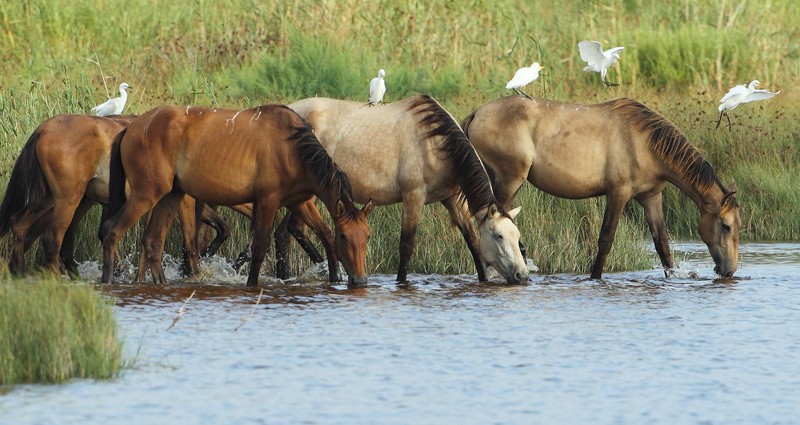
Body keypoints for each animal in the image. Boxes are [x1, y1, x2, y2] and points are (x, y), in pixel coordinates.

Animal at [0, 114, 234, 276]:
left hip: (53, 198)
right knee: (52, 238)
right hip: (68, 199)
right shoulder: (184, 200)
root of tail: (42, 129)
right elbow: (190, 240)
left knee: (20, 224)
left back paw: (19, 270)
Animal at [101, 104, 374, 286]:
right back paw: (108, 280)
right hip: (146, 194)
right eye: (344, 236)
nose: (360, 280)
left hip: (170, 196)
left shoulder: (300, 202)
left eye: (367, 236)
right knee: (112, 230)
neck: (292, 148)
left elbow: (324, 234)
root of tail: (131, 129)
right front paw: (252, 284)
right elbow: (260, 246)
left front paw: (335, 278)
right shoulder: (268, 200)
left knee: (153, 242)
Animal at [288, 94, 532, 284]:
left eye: (517, 235)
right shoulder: (413, 196)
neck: (436, 145)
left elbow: (473, 242)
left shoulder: (451, 198)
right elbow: (406, 246)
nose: (522, 276)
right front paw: (401, 283)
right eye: (499, 236)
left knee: (293, 230)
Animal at [462, 95, 744, 278]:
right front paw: (594, 278)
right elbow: (606, 240)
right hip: (509, 181)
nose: (729, 270)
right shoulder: (618, 194)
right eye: (726, 226)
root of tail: (476, 114)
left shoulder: (652, 197)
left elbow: (662, 245)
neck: (645, 143)